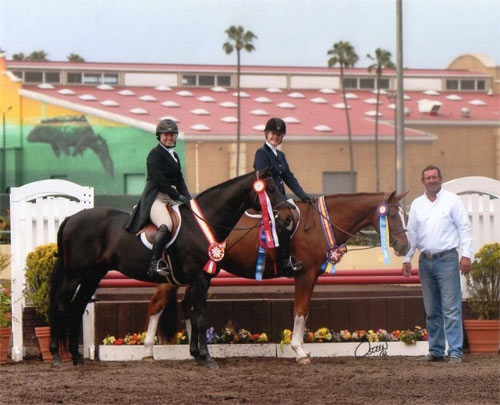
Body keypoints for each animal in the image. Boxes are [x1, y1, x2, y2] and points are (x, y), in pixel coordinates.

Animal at [47, 166, 290, 366]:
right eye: (269, 188)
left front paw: (197, 355)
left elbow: (192, 313)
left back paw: (76, 356)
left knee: (77, 306)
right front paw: (208, 358)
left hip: (92, 275)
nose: (287, 217)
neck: (202, 224)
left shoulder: (199, 279)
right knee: (61, 304)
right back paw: (57, 356)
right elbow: (200, 317)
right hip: (74, 274)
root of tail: (71, 218)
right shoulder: (199, 279)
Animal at [143, 191, 408, 362]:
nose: (404, 246)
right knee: (158, 304)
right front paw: (299, 352)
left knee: (188, 305)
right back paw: (149, 352)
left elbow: (305, 311)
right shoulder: (305, 274)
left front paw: (302, 350)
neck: (320, 223)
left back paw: (195, 349)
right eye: (393, 216)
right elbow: (300, 310)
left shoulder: (312, 276)